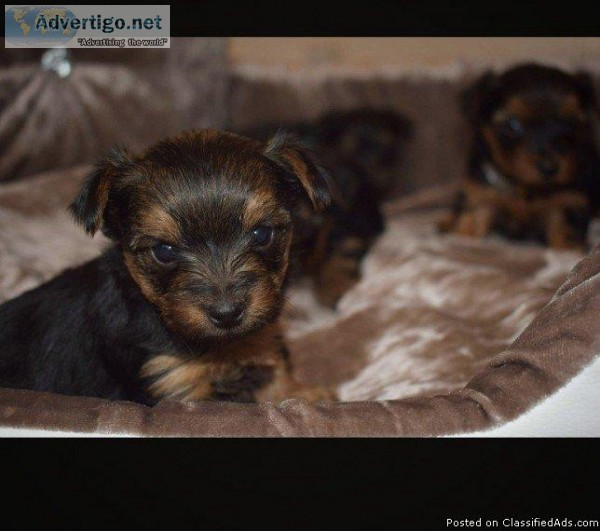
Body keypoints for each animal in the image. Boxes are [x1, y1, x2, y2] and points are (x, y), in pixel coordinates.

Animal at [0, 131, 338, 406]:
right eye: (164, 251)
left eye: (263, 234)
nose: (227, 313)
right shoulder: (173, 381)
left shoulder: (261, 340)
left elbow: (274, 373)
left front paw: (305, 395)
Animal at [440, 62, 600, 251]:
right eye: (513, 124)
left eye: (571, 122)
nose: (549, 167)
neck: (525, 187)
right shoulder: (480, 193)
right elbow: (468, 224)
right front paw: (461, 236)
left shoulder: (569, 200)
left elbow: (566, 232)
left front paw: (570, 249)